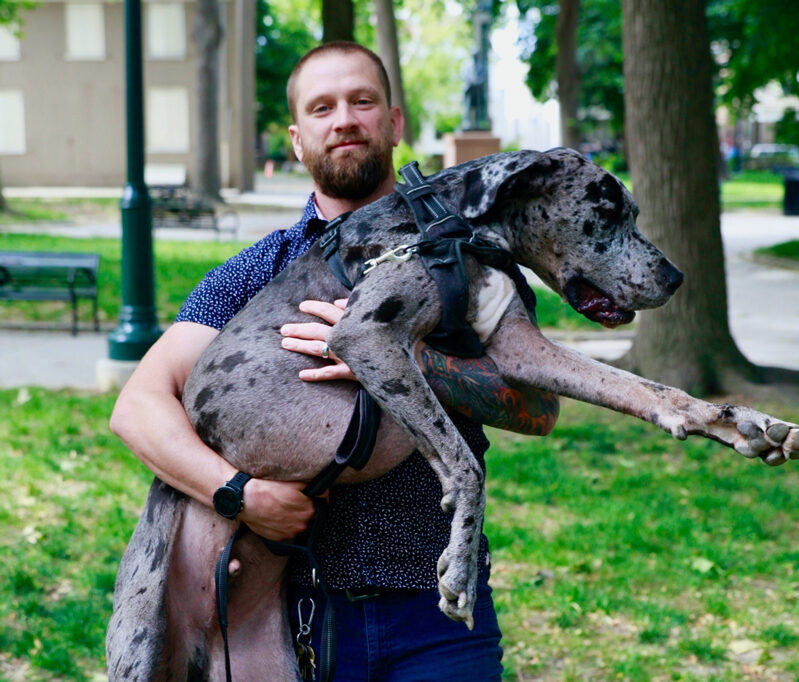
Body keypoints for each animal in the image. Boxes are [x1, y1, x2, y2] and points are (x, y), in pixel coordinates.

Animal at [108, 149, 799, 676]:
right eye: (608, 211)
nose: (675, 276)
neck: (457, 227)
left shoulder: (519, 352)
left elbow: (643, 389)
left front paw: (738, 423)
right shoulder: (364, 336)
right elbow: (467, 465)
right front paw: (460, 567)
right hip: (138, 643)